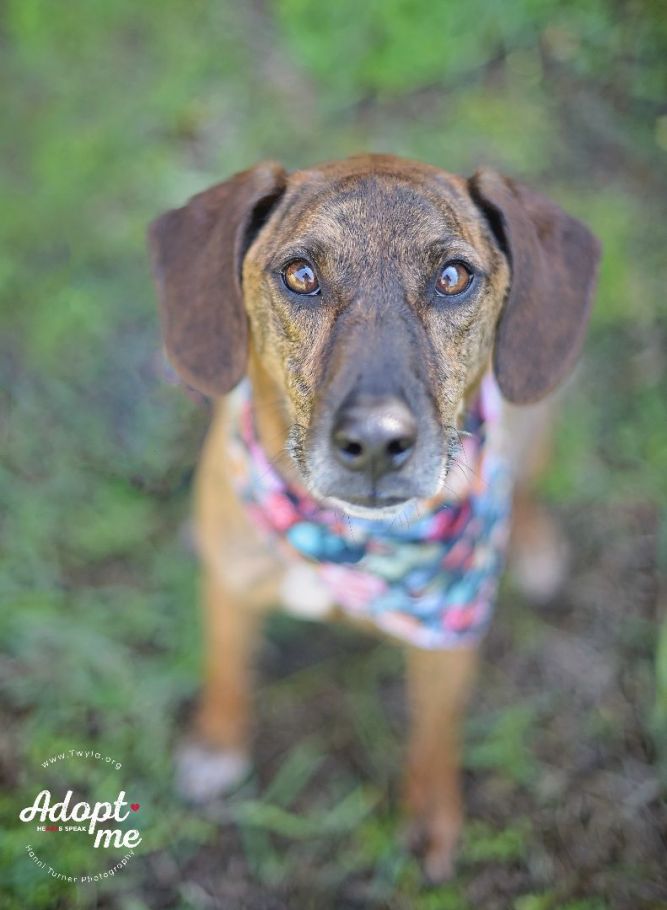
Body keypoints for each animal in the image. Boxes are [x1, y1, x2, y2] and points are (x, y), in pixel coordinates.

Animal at [149, 157, 604, 884]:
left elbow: (434, 732)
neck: (349, 542)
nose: (374, 442)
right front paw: (216, 744)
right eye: (300, 275)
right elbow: (227, 671)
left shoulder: (446, 644)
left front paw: (430, 819)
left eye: (453, 278)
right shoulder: (231, 592)